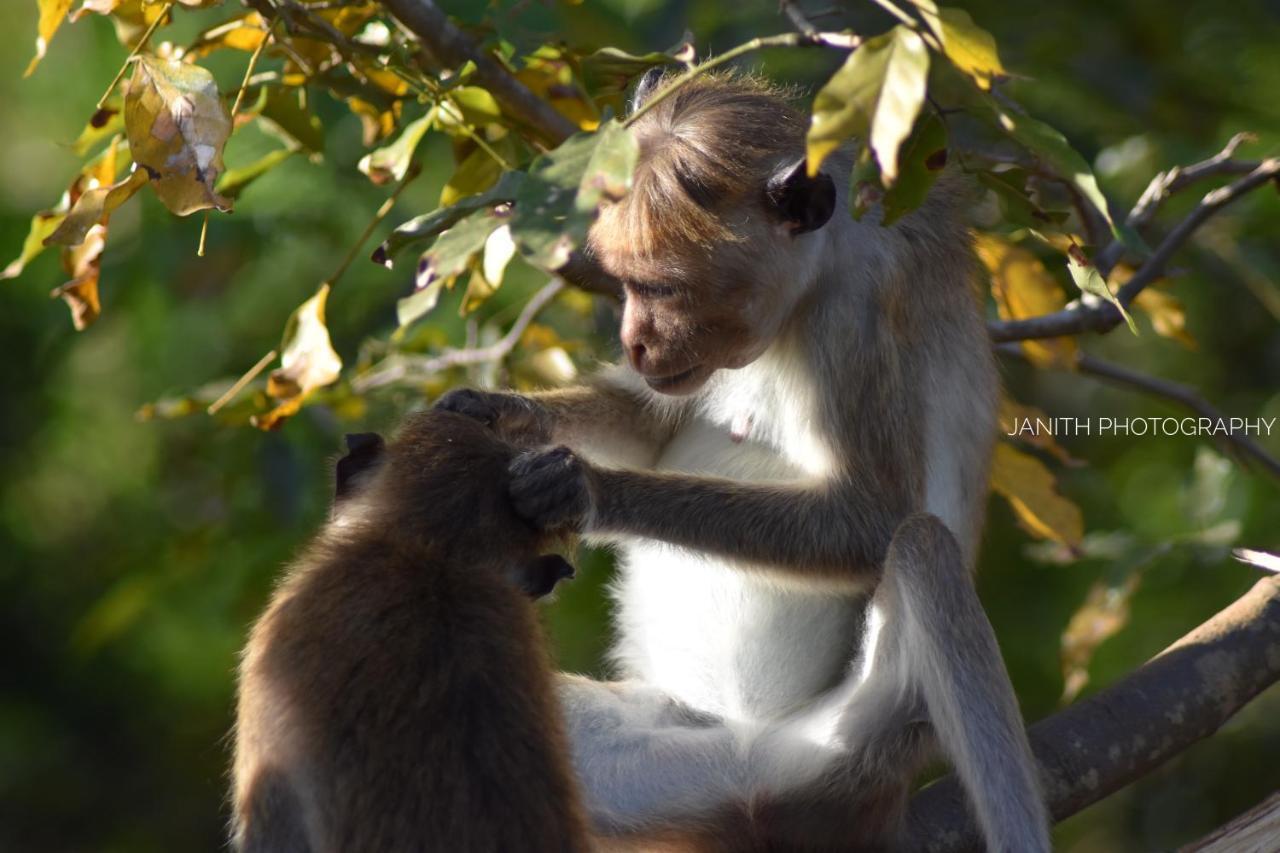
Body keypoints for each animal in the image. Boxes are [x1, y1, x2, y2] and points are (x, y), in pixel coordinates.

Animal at [440, 71, 1049, 850]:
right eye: (625, 284)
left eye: (661, 288)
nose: (635, 341)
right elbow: (649, 423)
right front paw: (496, 412)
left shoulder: (857, 314)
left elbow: (872, 518)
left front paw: (584, 488)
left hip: (846, 747)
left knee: (922, 547)